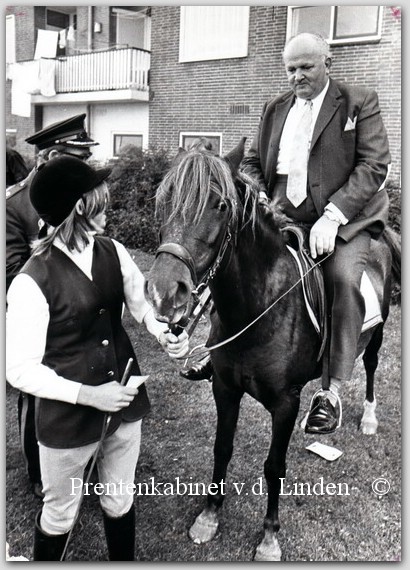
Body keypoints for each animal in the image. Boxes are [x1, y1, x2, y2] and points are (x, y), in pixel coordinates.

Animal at [144, 139, 400, 560]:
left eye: (221, 205)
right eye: (163, 200)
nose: (166, 291)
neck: (261, 306)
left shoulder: (285, 403)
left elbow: (274, 466)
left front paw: (268, 536)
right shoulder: (225, 389)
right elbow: (222, 448)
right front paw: (209, 515)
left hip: (377, 334)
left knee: (370, 366)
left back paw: (367, 417)